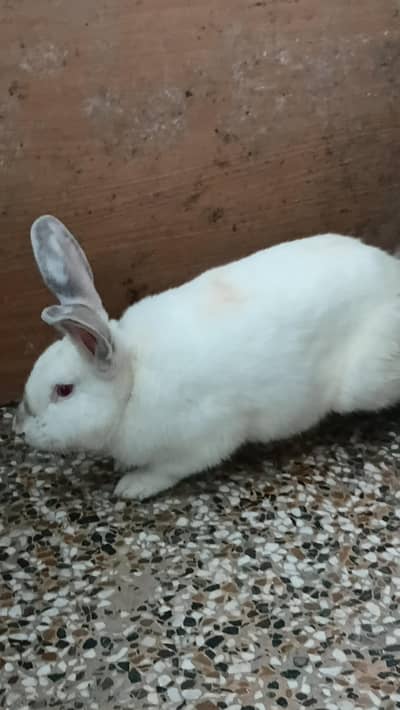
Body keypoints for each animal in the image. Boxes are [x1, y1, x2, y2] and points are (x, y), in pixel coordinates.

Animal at [13, 215, 400, 500]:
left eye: (63, 390)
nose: (20, 429)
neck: (132, 385)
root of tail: (391, 272)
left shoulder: (206, 438)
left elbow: (168, 470)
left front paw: (133, 486)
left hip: (363, 383)